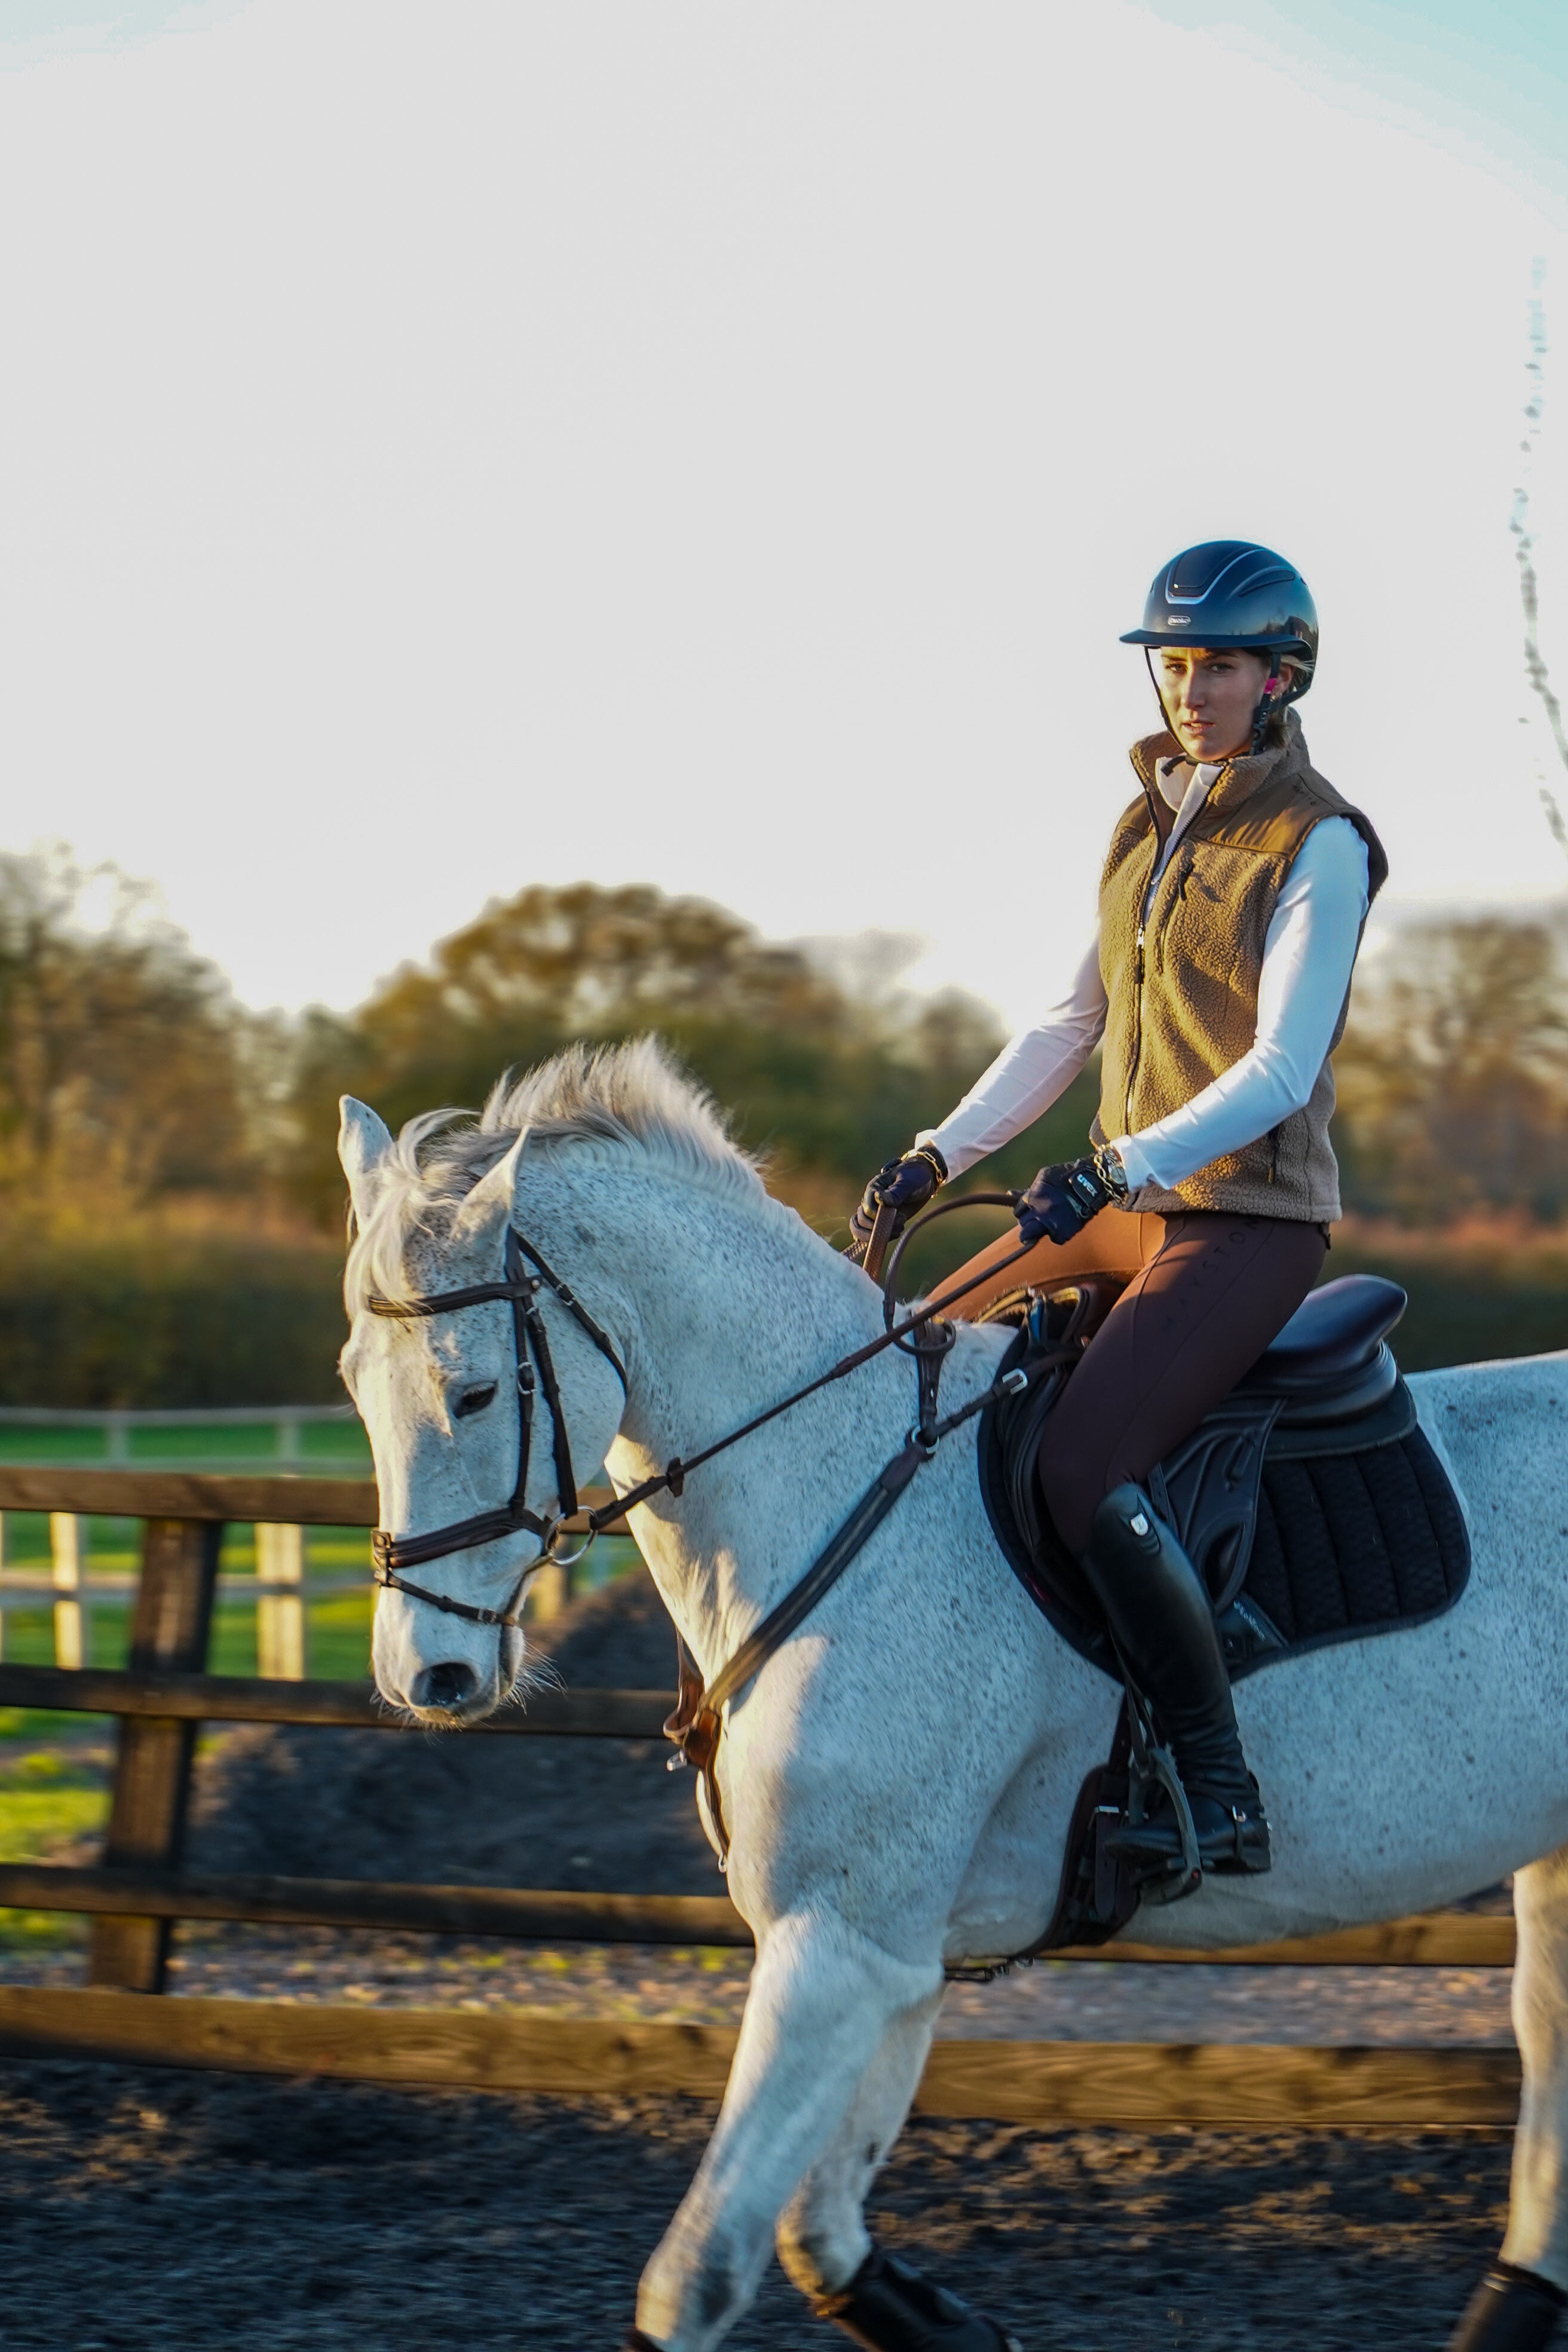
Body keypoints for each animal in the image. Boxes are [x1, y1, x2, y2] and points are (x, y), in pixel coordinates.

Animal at [337, 1037, 1568, 2352]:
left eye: (473, 1392)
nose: (427, 1672)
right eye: (353, 1385)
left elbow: (698, 2274)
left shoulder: (838, 1947)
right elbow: (816, 2235)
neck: (825, 1470)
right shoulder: (892, 1949)